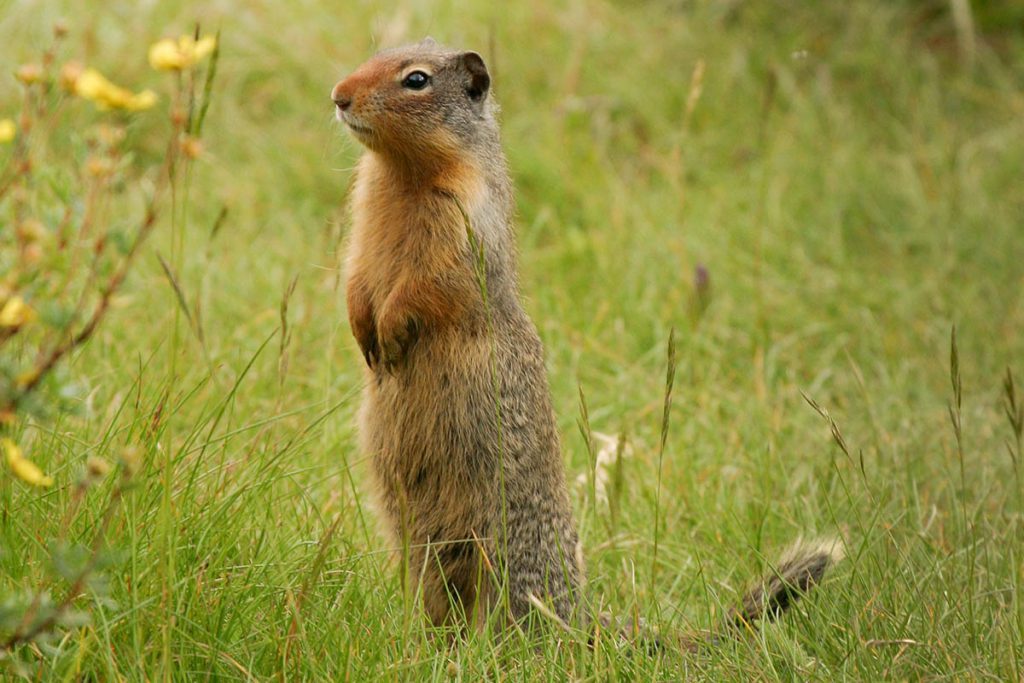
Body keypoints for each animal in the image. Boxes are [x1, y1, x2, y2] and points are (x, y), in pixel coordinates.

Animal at [331, 37, 843, 643]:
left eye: (416, 79)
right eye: (376, 52)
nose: (338, 96)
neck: (401, 175)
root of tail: (577, 611)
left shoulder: (460, 230)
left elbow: (429, 285)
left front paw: (389, 332)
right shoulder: (365, 222)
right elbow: (357, 276)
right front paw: (364, 330)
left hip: (497, 557)